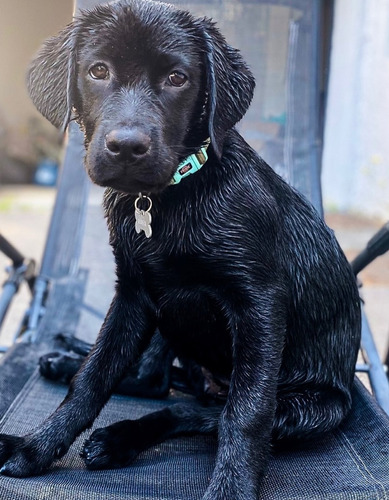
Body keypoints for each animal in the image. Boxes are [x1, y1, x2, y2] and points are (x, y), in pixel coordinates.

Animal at [0, 1, 360, 498]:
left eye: (177, 78)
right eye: (97, 71)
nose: (127, 147)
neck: (166, 199)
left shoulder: (261, 304)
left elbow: (246, 415)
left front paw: (231, 489)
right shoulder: (133, 293)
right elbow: (94, 378)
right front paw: (36, 446)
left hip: (311, 407)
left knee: (199, 410)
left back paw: (119, 438)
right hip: (166, 309)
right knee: (153, 379)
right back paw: (69, 362)